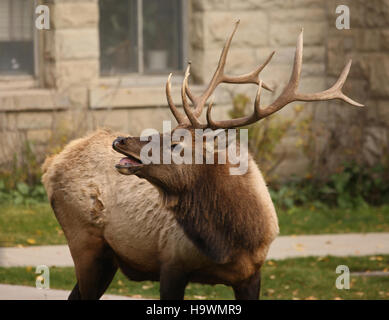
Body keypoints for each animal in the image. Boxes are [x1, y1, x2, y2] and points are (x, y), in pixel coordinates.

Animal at [41, 21, 360, 300]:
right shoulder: (171, 263)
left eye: (174, 143)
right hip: (84, 241)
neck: (232, 243)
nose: (119, 141)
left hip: (105, 257)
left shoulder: (252, 274)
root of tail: (51, 166)